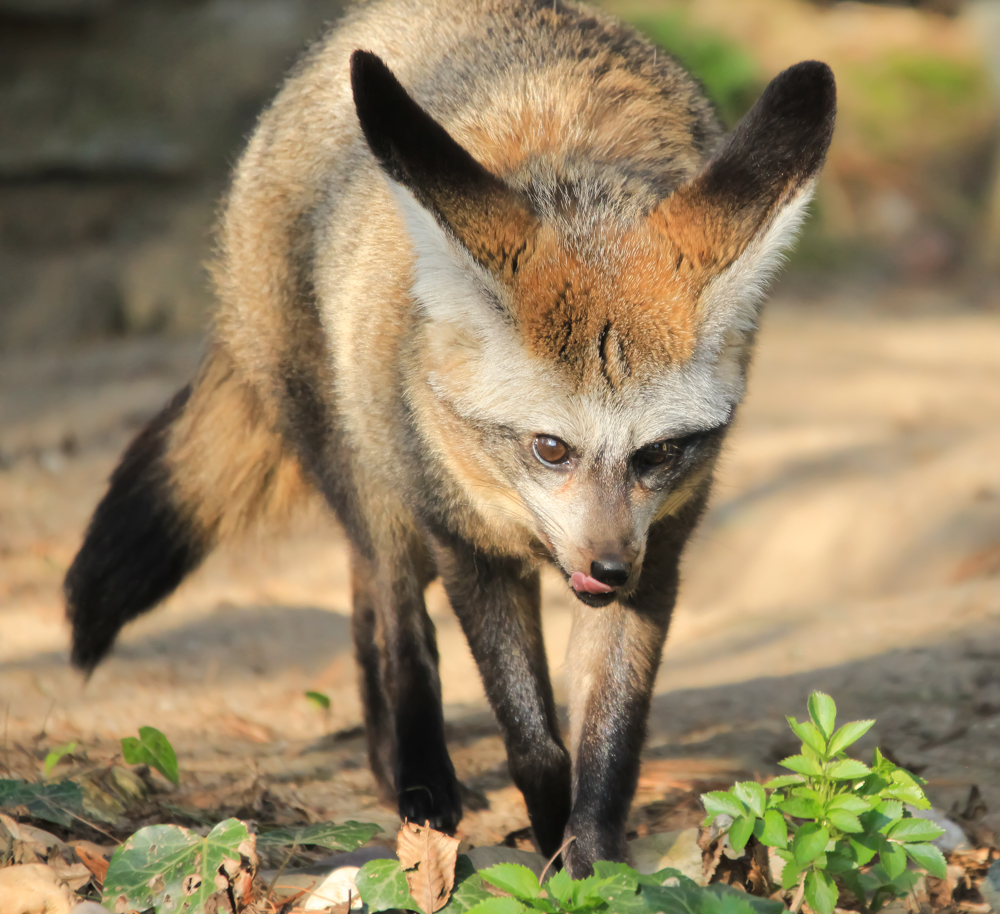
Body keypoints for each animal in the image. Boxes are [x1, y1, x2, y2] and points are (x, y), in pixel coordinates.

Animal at [64, 0, 836, 876]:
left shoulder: (659, 558)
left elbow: (609, 741)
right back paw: (418, 781)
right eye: (550, 448)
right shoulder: (469, 547)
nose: (608, 568)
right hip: (373, 482)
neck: (577, 181)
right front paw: (545, 842)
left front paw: (593, 862)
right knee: (395, 620)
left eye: (658, 454)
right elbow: (532, 741)